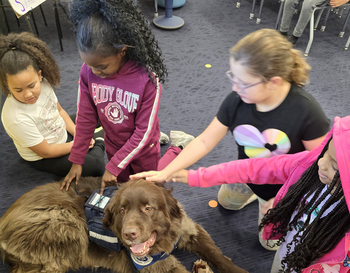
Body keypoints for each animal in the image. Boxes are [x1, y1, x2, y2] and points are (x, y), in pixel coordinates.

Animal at [0, 176, 247, 272]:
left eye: (148, 208)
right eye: (121, 210)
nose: (129, 234)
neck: (165, 238)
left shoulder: (190, 231)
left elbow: (218, 256)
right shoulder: (154, 265)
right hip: (65, 225)